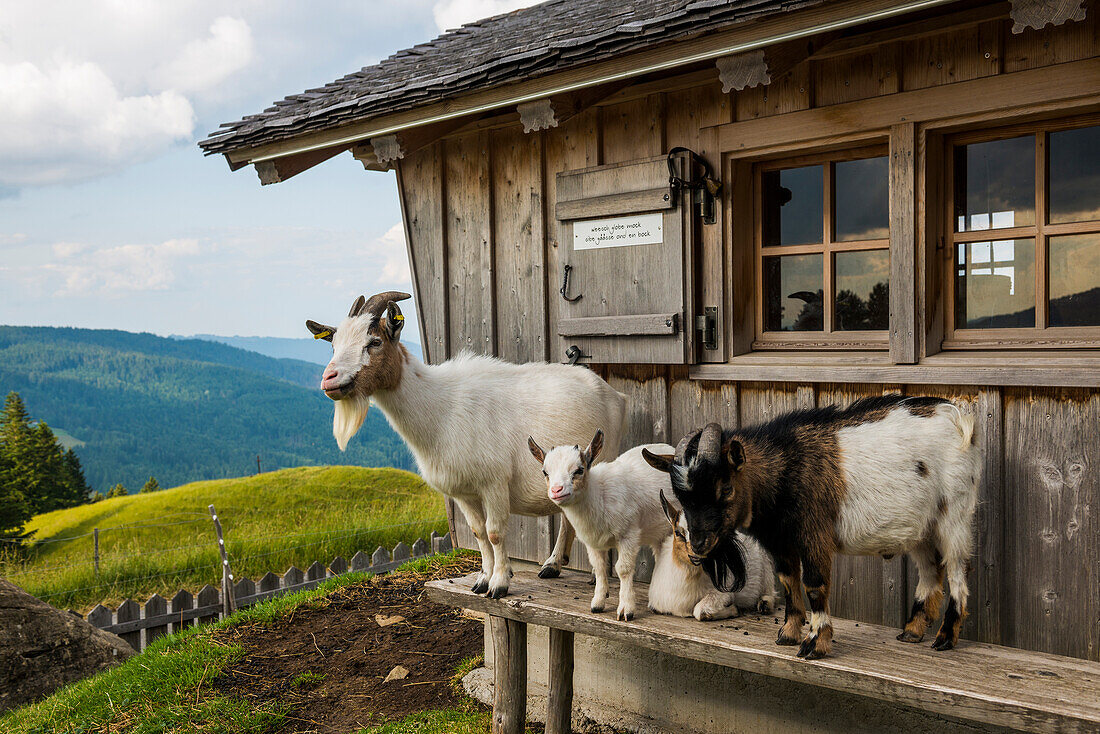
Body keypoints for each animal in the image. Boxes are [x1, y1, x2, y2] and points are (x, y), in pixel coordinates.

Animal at [308, 290, 629, 598]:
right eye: (333, 345)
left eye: (373, 342)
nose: (329, 379)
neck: (441, 408)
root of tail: (616, 394)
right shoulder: (463, 492)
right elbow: (478, 533)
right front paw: (482, 579)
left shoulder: (494, 483)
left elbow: (495, 532)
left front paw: (499, 584)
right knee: (566, 516)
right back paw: (552, 564)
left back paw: (589, 573)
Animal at [523, 433, 668, 625]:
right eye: (545, 472)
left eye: (579, 470)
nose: (556, 490)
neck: (599, 495)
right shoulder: (592, 541)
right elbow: (599, 568)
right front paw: (598, 603)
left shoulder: (628, 535)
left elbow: (623, 569)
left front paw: (626, 609)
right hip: (658, 531)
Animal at [646, 490, 778, 625]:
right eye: (677, 532)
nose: (696, 551)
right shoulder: (655, 603)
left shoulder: (723, 593)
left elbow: (700, 611)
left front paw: (735, 609)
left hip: (767, 572)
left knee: (771, 592)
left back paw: (764, 605)